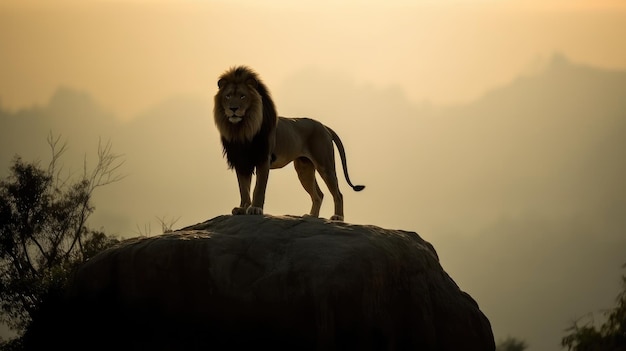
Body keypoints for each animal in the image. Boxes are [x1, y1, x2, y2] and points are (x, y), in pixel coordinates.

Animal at [213, 64, 364, 221]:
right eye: (228, 96)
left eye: (242, 96)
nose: (233, 109)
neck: (241, 129)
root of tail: (323, 126)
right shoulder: (241, 161)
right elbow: (244, 189)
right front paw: (242, 208)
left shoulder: (263, 159)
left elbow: (258, 188)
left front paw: (255, 209)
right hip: (304, 168)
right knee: (319, 194)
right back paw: (311, 216)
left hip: (325, 164)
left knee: (338, 193)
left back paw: (338, 217)